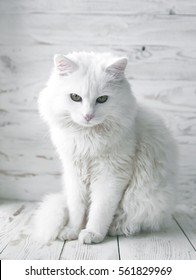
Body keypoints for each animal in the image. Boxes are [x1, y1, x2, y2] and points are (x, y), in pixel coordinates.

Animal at [34, 51, 178, 244]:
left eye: (102, 99)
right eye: (75, 97)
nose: (88, 116)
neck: (87, 138)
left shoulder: (111, 175)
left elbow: (100, 211)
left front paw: (92, 233)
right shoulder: (74, 174)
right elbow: (76, 210)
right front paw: (72, 231)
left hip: (148, 199)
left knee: (130, 219)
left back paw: (118, 229)